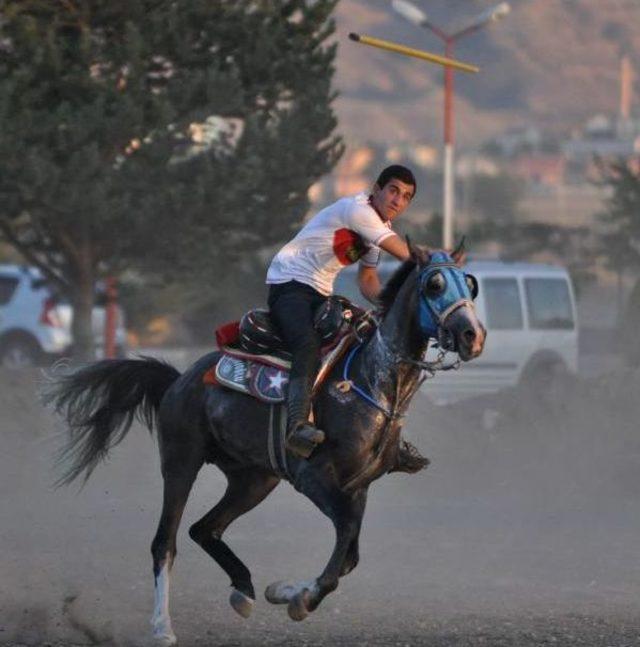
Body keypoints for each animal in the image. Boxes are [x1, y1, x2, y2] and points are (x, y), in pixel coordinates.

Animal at [46, 242, 484, 644]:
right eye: (434, 284)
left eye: (470, 284)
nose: (472, 335)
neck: (368, 381)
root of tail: (177, 380)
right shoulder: (313, 478)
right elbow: (343, 544)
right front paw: (301, 601)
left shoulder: (358, 487)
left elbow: (349, 554)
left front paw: (283, 591)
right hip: (181, 463)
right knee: (164, 543)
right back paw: (162, 627)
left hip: (254, 480)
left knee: (204, 529)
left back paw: (243, 591)